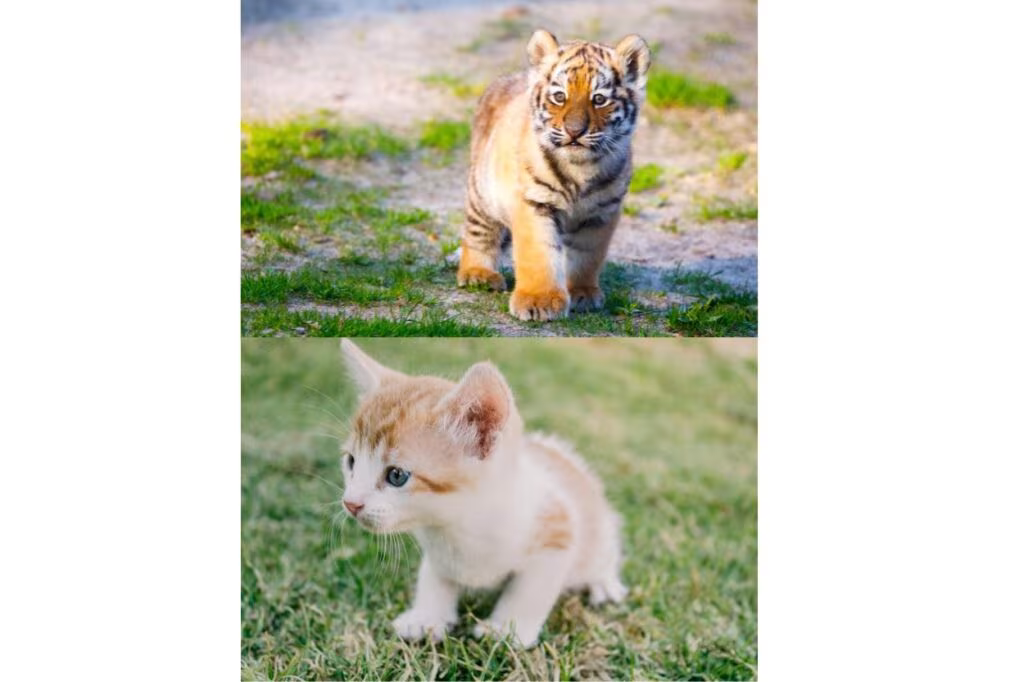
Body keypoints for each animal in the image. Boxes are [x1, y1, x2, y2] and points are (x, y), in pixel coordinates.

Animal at [457, 29, 652, 321]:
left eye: (599, 99)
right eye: (560, 96)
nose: (575, 131)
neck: (581, 167)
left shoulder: (601, 214)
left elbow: (587, 256)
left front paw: (582, 293)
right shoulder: (534, 203)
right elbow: (539, 254)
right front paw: (538, 301)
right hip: (483, 195)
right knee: (478, 233)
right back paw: (478, 274)